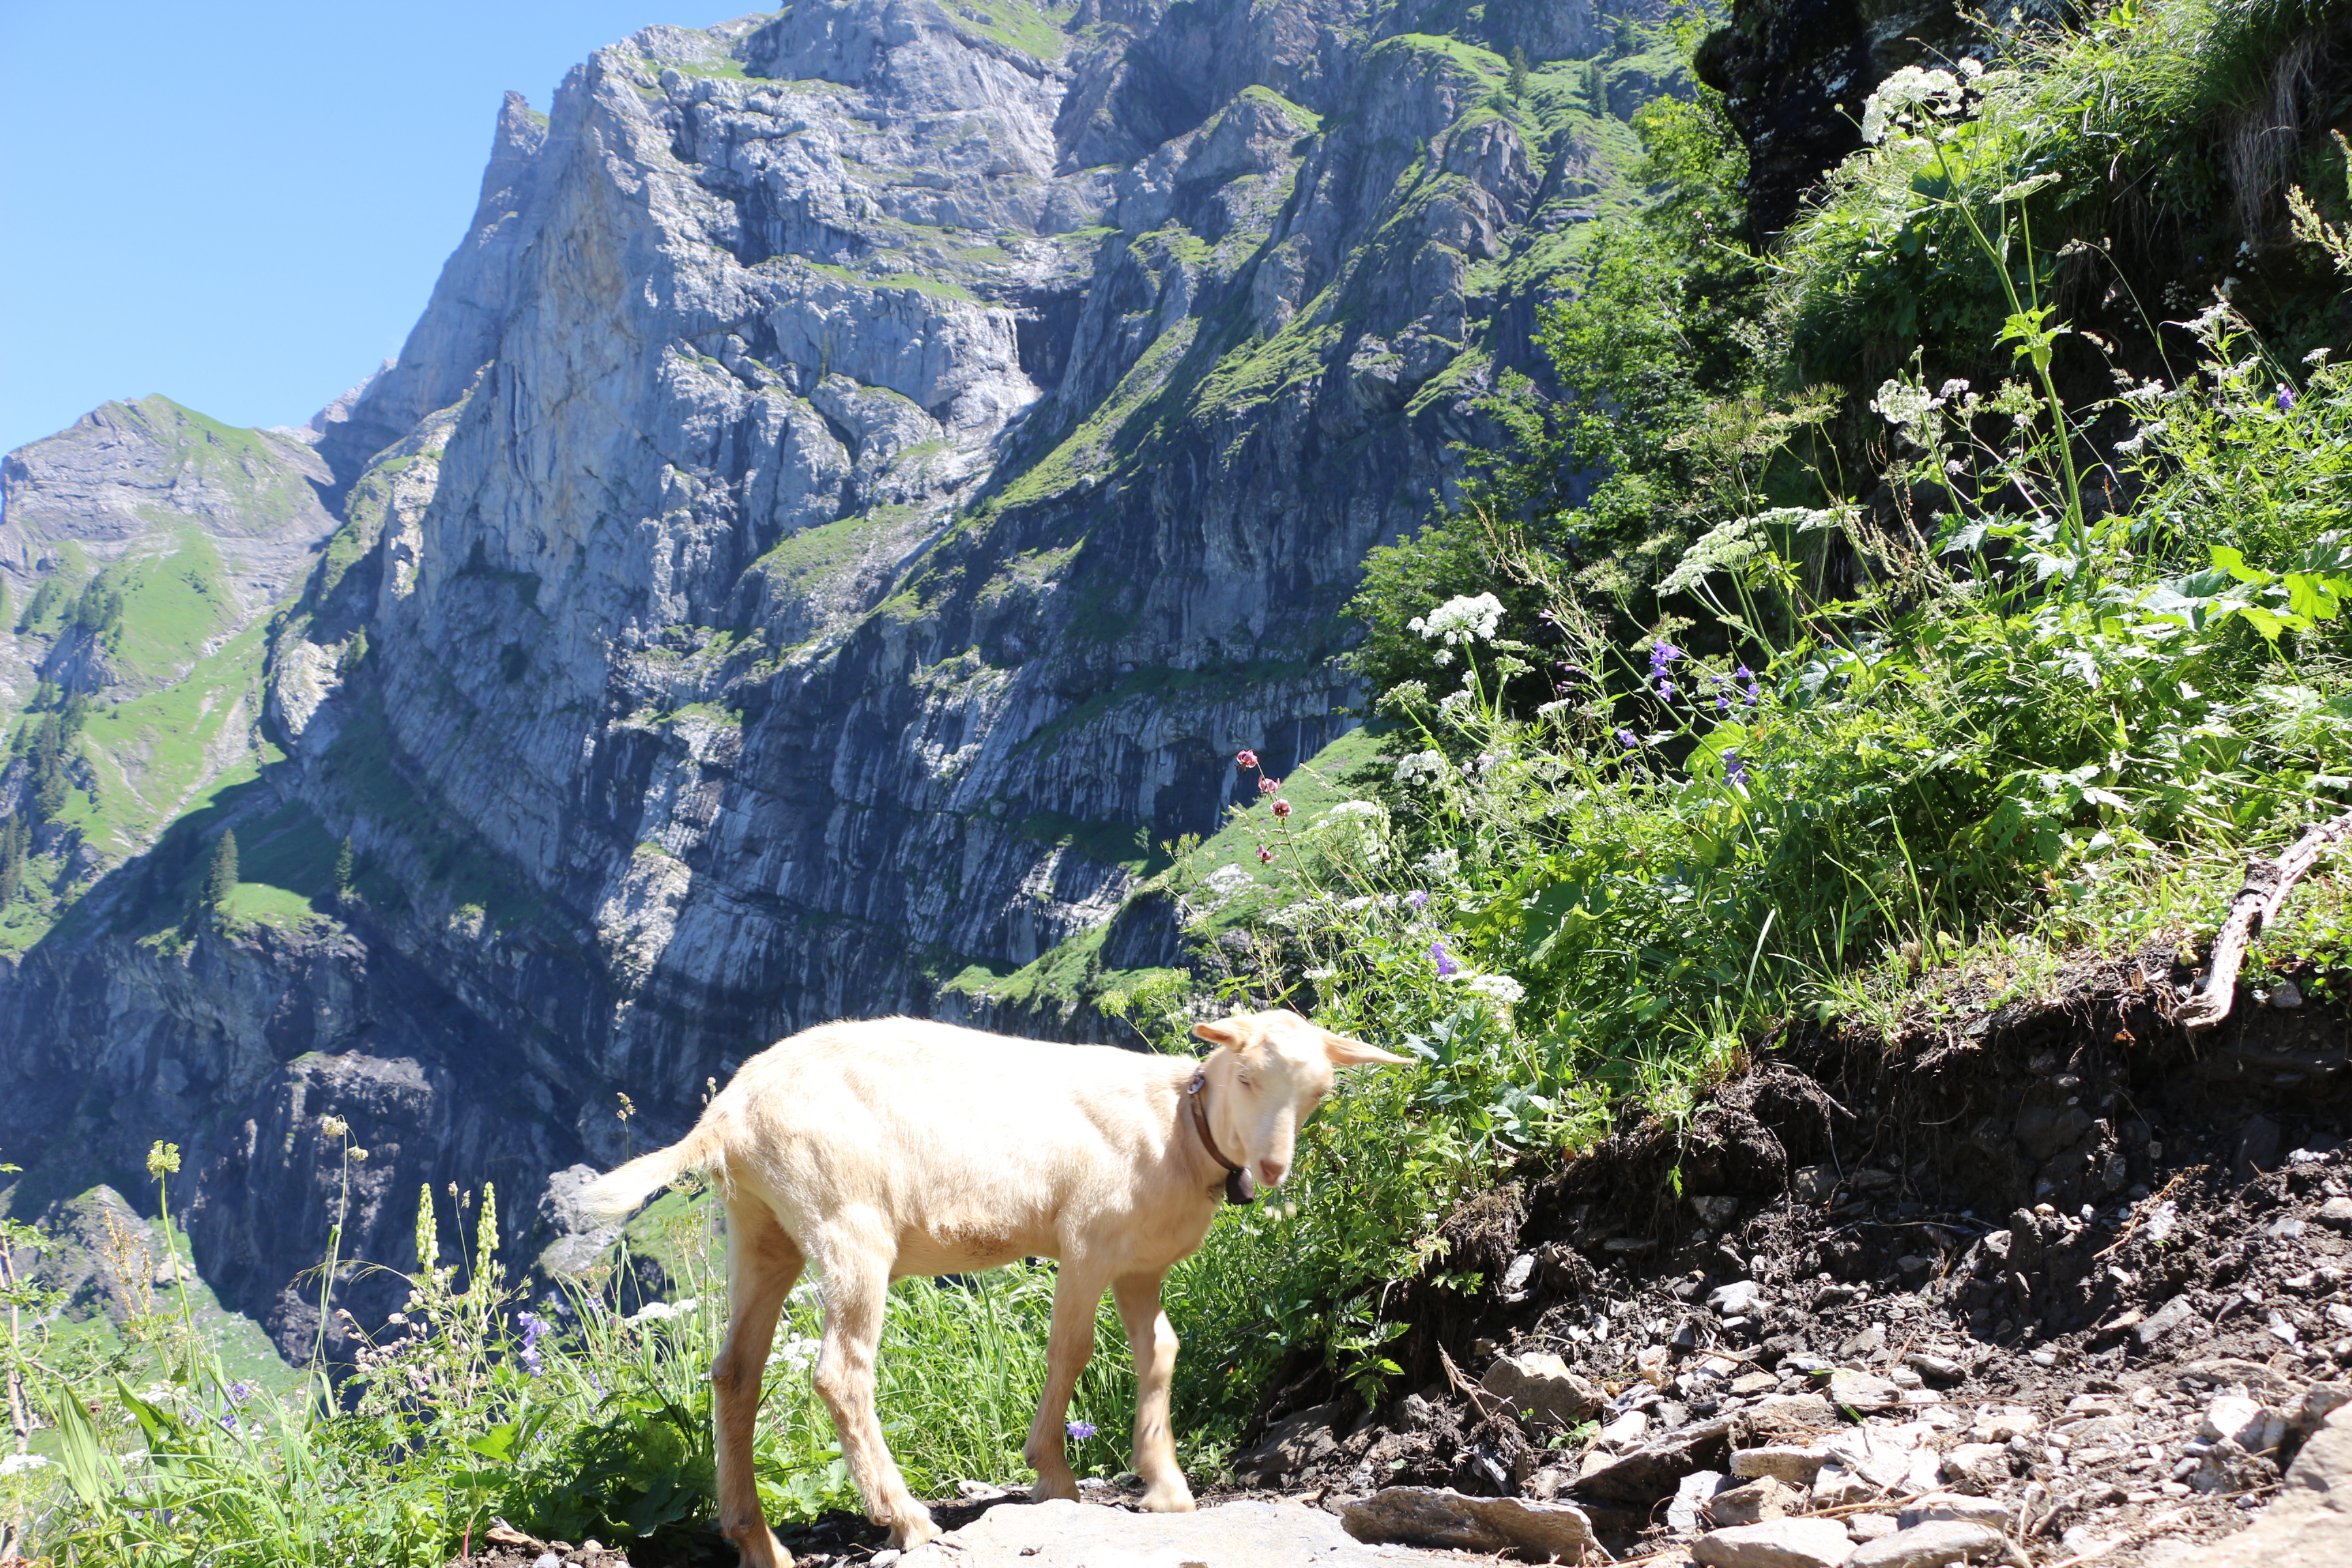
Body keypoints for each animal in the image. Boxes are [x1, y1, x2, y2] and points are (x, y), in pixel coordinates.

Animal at [576, 1011, 1401, 1561]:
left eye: (1320, 1093)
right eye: (1249, 1075)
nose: (1272, 1169)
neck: (1178, 1123)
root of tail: (729, 1114)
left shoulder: (1141, 1264)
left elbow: (1160, 1353)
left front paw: (1165, 1485)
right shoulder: (1088, 1241)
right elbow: (1071, 1349)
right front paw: (1054, 1477)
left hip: (762, 1228)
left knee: (736, 1373)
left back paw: (759, 1542)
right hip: (848, 1222)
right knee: (841, 1373)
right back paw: (906, 1518)